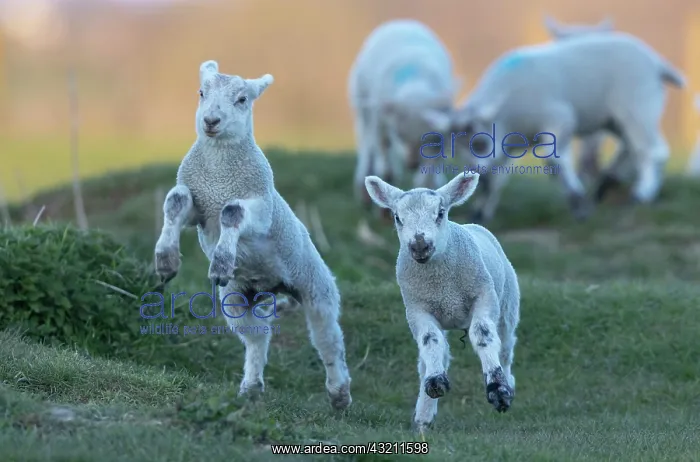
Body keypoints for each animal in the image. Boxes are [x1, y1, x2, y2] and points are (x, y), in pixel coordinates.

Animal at [153, 60, 352, 410]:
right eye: (201, 92)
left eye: (242, 99)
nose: (211, 121)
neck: (218, 173)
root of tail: (272, 286)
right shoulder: (198, 206)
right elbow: (175, 201)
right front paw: (165, 260)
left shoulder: (260, 208)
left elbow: (231, 211)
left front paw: (220, 261)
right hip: (236, 297)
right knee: (258, 336)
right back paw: (251, 386)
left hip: (316, 286)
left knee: (328, 338)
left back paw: (339, 392)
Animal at [348, 19, 462, 214]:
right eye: (399, 134)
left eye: (431, 137)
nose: (412, 164)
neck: (415, 84)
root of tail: (401, 22)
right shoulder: (380, 117)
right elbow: (383, 148)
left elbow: (433, 162)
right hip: (361, 98)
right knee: (367, 141)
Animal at [364, 172, 520, 432]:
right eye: (397, 217)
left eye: (440, 213)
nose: (419, 245)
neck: (442, 285)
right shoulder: (417, 309)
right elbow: (431, 341)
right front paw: (435, 383)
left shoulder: (484, 296)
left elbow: (483, 334)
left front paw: (498, 389)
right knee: (436, 355)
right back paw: (424, 414)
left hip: (507, 304)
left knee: (506, 347)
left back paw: (508, 383)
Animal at [450, 32, 685, 224]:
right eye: (460, 149)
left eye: (480, 143)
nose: (479, 174)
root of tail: (656, 62)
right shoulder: (506, 147)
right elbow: (498, 178)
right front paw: (480, 212)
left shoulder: (560, 118)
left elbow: (554, 160)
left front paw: (578, 204)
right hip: (616, 118)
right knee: (633, 147)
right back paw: (609, 182)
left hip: (637, 105)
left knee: (652, 150)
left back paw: (642, 193)